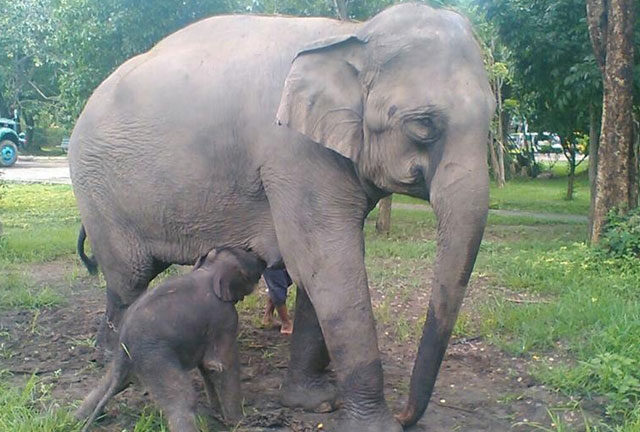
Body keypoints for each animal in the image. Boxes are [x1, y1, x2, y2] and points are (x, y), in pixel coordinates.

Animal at [75, 248, 265, 431]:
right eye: (253, 262)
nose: (262, 259)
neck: (209, 270)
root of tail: (125, 346)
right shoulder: (225, 318)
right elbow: (221, 364)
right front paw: (240, 423)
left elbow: (207, 366)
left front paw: (217, 413)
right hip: (155, 359)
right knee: (183, 399)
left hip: (130, 359)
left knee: (106, 383)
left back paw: (79, 418)